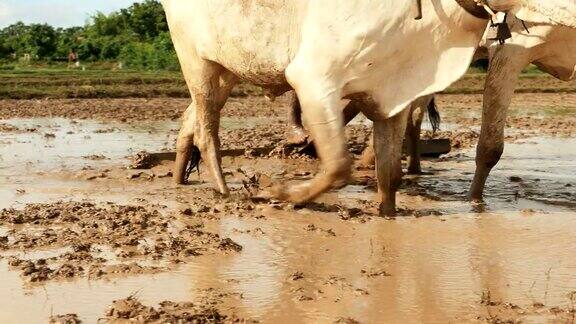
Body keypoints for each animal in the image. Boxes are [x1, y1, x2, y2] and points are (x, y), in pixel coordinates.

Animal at [162, 1, 576, 218]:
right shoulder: (314, 78)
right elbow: (338, 165)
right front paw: (277, 190)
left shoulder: (394, 94)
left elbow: (389, 173)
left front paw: (387, 213)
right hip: (196, 62)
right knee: (207, 129)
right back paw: (223, 189)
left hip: (227, 67)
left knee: (192, 118)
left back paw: (180, 176)